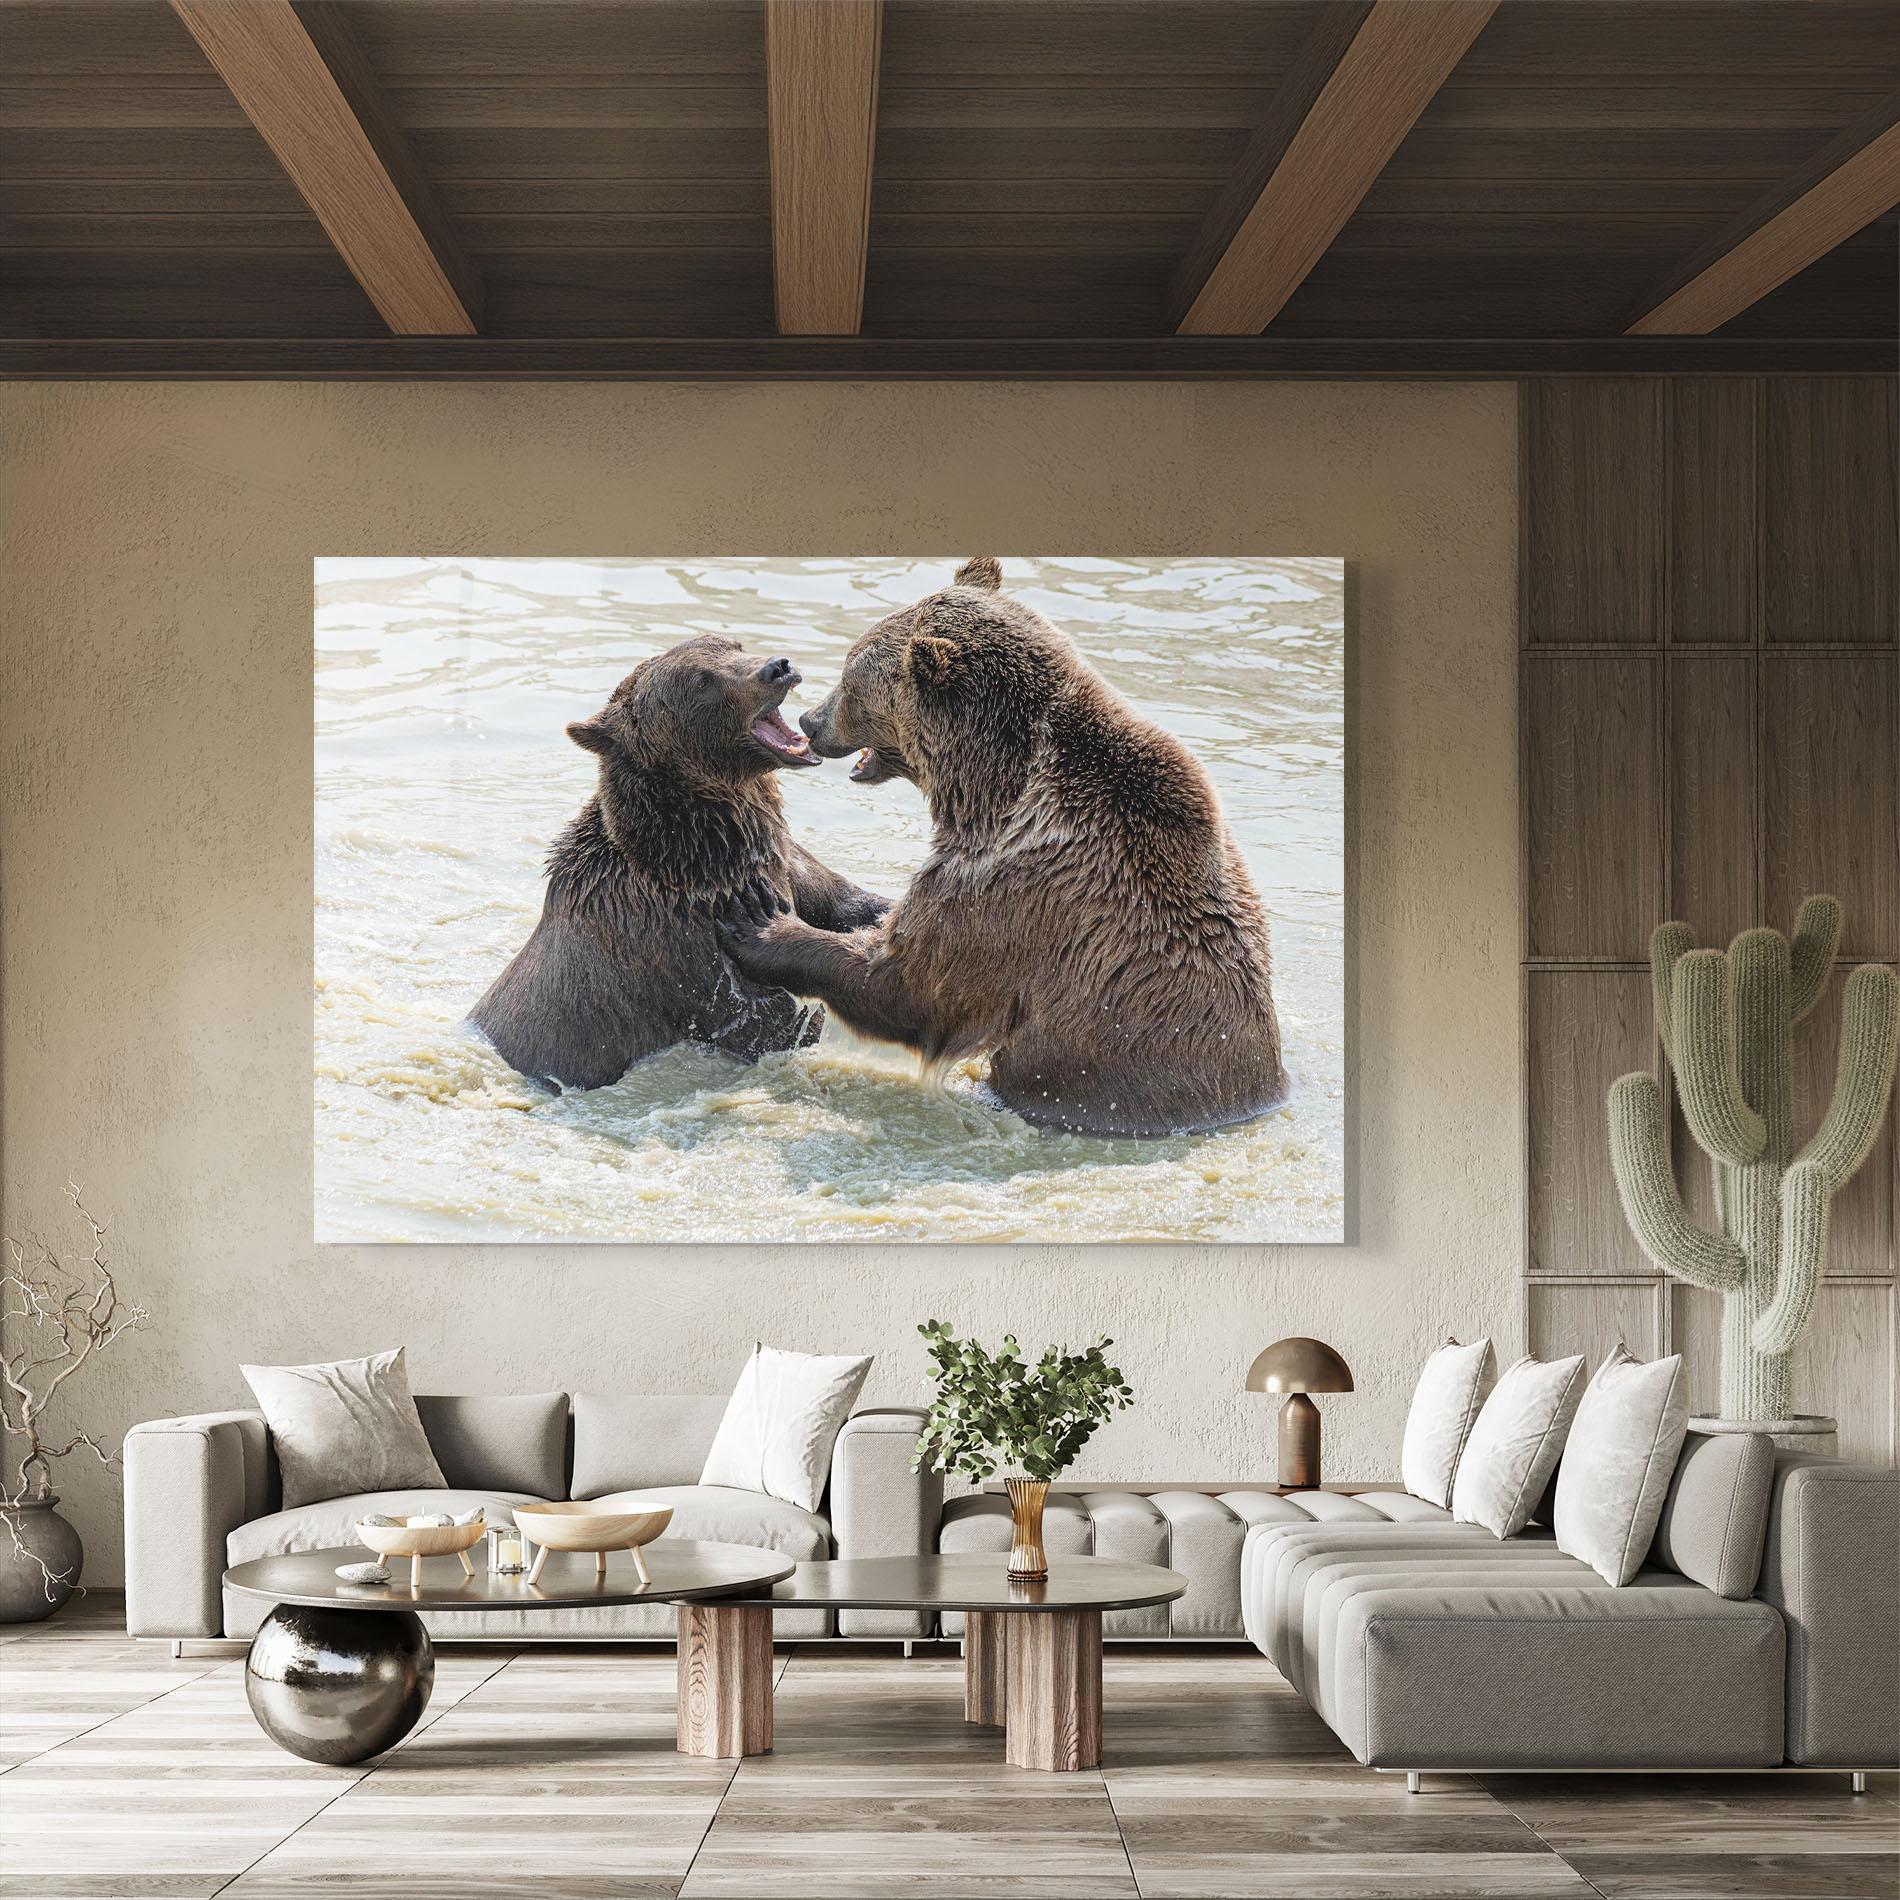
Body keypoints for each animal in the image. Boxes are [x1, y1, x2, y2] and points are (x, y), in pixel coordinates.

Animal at [470, 635, 888, 1091]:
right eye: (701, 681)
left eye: (733, 645)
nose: (777, 667)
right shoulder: (684, 946)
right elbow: (767, 1020)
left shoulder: (784, 861)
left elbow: (844, 900)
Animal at [714, 558, 1286, 1136]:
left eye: (852, 679)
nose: (811, 720)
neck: (990, 788)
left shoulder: (1013, 886)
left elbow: (910, 983)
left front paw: (761, 924)